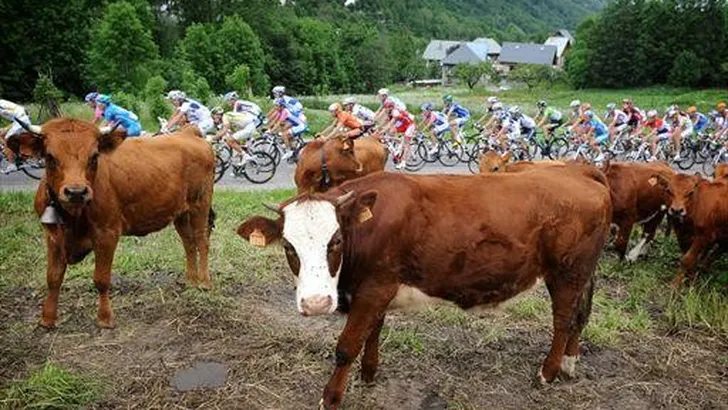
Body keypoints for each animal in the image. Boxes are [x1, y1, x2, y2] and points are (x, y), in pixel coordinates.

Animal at [8, 118, 215, 329]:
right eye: (49, 156)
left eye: (94, 156)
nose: (76, 192)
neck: (73, 217)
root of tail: (187, 133)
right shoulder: (53, 236)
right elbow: (53, 277)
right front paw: (47, 319)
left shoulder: (107, 233)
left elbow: (101, 279)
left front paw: (105, 318)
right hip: (181, 212)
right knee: (188, 242)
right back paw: (191, 280)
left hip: (200, 203)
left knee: (201, 241)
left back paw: (204, 282)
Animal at [237, 168, 612, 409]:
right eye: (289, 246)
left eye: (336, 240)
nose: (316, 303)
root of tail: (579, 172)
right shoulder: (377, 289)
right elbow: (373, 332)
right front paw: (369, 374)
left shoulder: (374, 288)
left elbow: (346, 346)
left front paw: (330, 397)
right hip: (582, 274)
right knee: (579, 317)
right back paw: (569, 363)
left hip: (567, 272)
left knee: (563, 320)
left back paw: (547, 372)